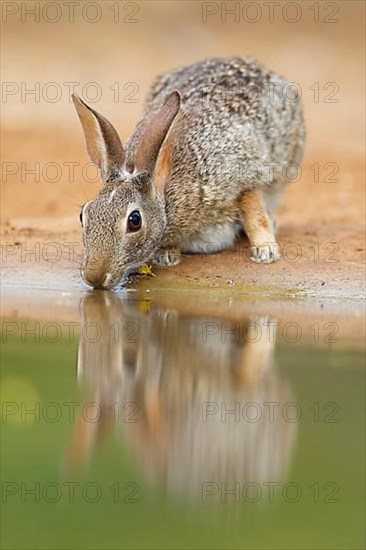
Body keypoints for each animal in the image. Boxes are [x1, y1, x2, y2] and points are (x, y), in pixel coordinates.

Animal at [72, 56, 306, 292]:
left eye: (134, 221)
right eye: (83, 214)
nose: (94, 277)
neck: (167, 196)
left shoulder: (241, 171)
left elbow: (253, 209)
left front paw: (266, 251)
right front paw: (166, 255)